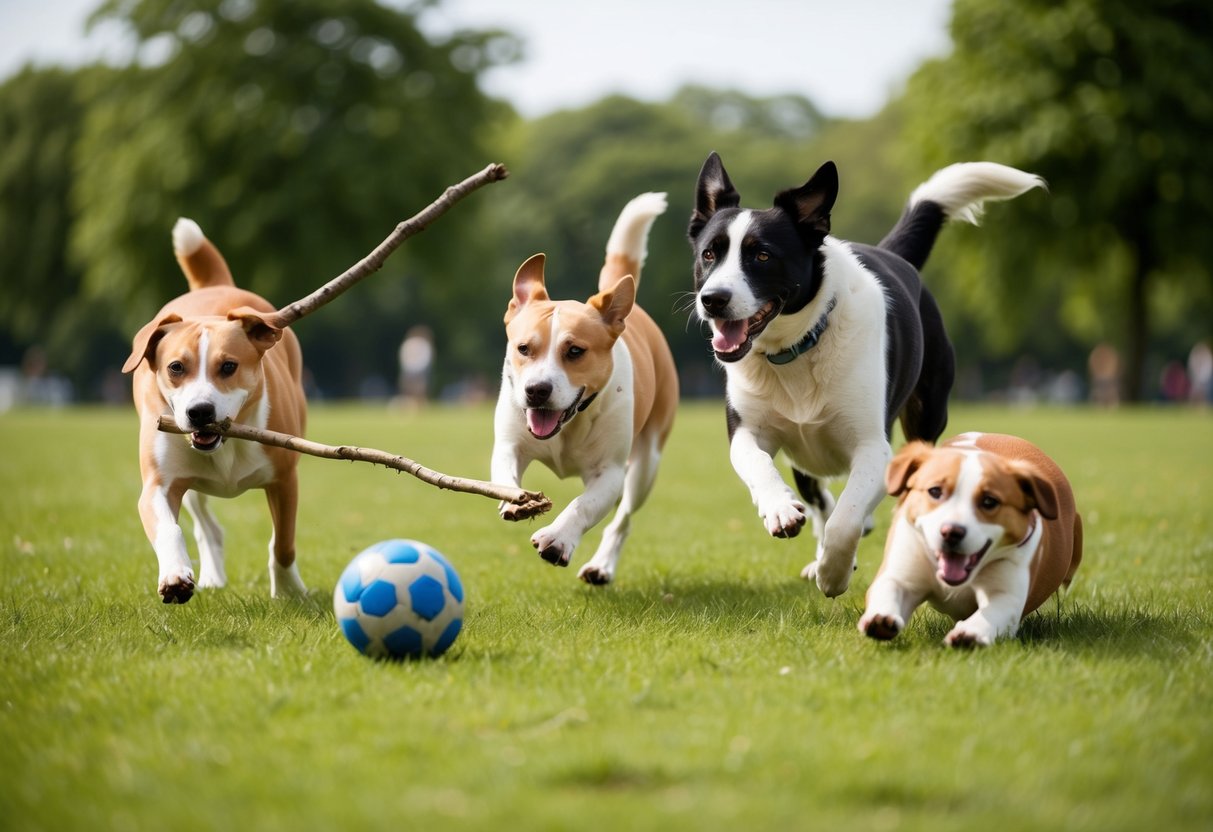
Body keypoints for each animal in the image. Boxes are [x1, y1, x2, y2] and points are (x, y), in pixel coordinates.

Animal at [121, 218, 308, 603]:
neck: (228, 442)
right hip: (192, 483)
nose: (200, 412)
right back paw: (210, 576)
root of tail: (214, 285)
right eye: (176, 367)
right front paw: (175, 575)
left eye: (229, 366)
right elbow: (168, 528)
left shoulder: (284, 478)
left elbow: (283, 543)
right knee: (208, 527)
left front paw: (288, 591)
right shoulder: (159, 482)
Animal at [492, 195, 684, 587]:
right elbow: (504, 469)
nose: (537, 390)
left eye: (575, 351)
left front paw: (557, 539)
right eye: (523, 349)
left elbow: (584, 505)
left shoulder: (609, 472)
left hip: (646, 464)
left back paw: (601, 566)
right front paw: (514, 499)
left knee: (622, 520)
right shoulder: (510, 442)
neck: (568, 425)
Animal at [693, 153, 1043, 596]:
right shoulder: (746, 431)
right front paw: (780, 510)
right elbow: (759, 464)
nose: (712, 300)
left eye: (762, 256)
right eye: (709, 254)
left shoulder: (874, 448)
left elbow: (847, 518)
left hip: (926, 413)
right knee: (819, 496)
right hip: (804, 457)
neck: (796, 349)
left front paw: (833, 574)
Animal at [858, 434, 1086, 650]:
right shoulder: (906, 567)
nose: (951, 532)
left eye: (989, 501)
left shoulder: (1007, 587)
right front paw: (881, 618)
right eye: (935, 491)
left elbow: (994, 611)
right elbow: (890, 586)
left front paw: (970, 634)